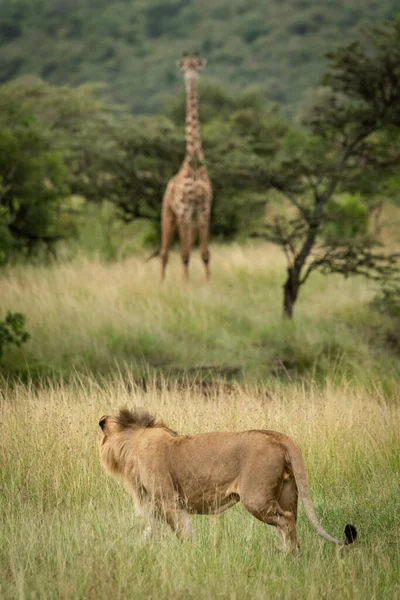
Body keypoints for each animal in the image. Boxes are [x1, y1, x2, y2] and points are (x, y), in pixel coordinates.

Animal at [97, 408, 356, 552]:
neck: (133, 442)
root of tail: (279, 436)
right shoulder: (158, 505)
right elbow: (149, 532)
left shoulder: (168, 500)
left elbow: (182, 531)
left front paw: (189, 554)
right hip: (287, 493)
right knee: (290, 521)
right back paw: (290, 553)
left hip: (255, 498)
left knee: (286, 520)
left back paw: (287, 555)